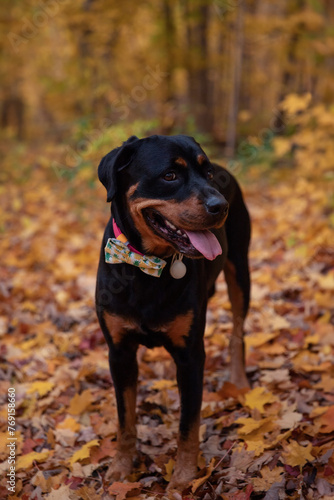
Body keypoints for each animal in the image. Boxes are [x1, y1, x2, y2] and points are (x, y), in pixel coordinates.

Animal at [95, 135, 249, 490]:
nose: (221, 205)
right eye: (169, 175)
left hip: (240, 269)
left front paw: (184, 477)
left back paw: (238, 380)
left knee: (238, 329)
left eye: (207, 172)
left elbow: (188, 425)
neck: (148, 267)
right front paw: (121, 468)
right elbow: (125, 420)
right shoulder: (119, 353)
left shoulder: (190, 355)